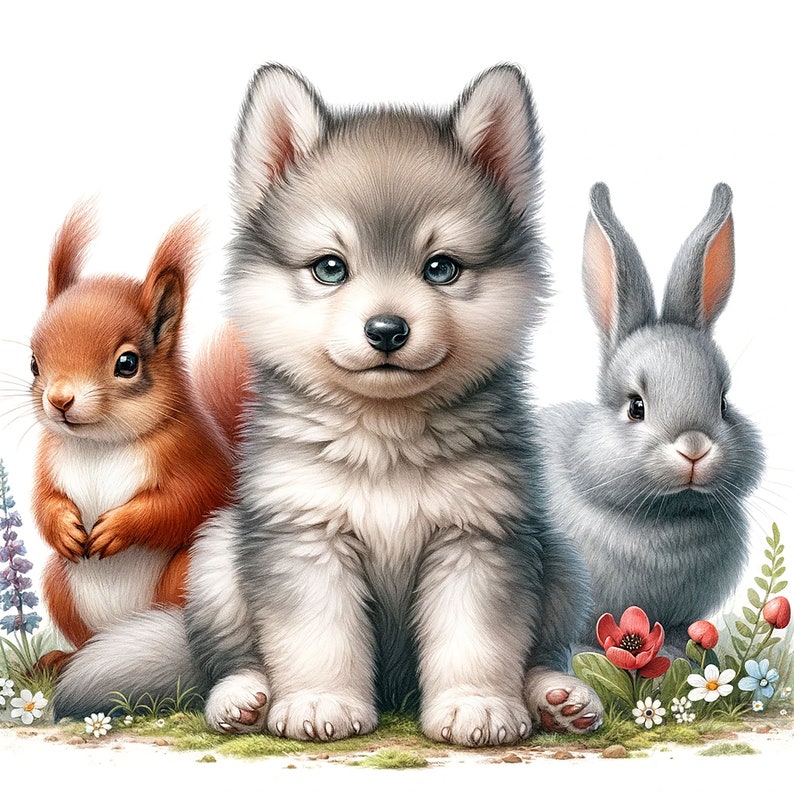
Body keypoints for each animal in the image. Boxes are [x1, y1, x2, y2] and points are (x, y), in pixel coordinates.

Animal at [29, 204, 249, 671]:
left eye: (127, 363)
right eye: (34, 362)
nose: (59, 400)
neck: (100, 443)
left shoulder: (192, 451)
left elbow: (185, 501)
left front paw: (118, 527)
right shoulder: (48, 456)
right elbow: (43, 500)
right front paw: (64, 527)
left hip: (183, 576)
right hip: (59, 583)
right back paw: (63, 659)